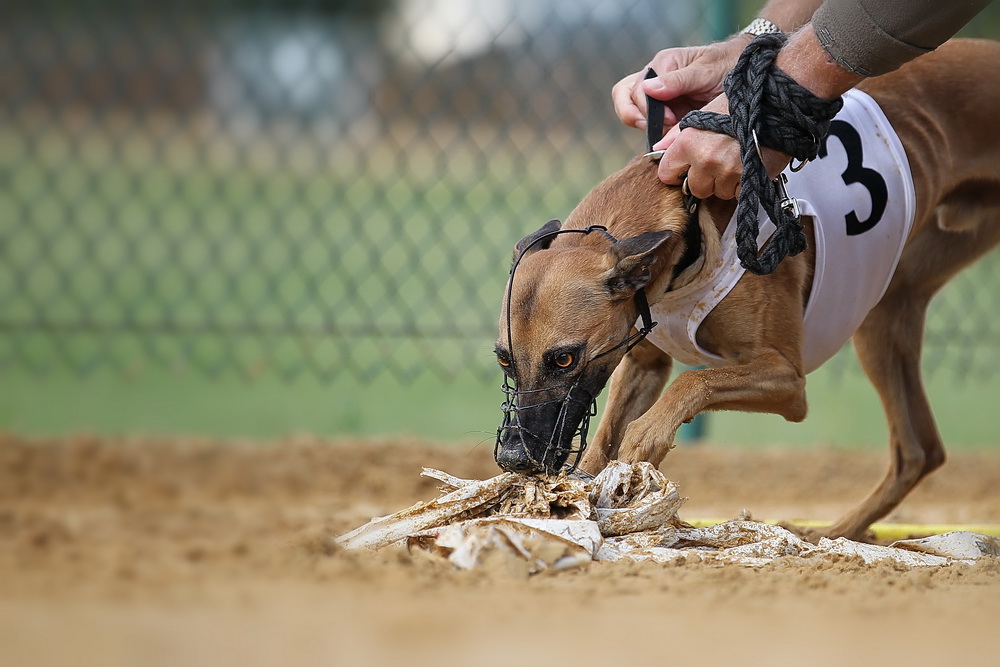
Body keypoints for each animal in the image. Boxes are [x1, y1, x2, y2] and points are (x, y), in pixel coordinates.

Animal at [492, 37, 1000, 544]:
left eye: (564, 358)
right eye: (503, 359)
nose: (515, 458)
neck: (689, 218)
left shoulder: (788, 381)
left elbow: (692, 381)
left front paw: (645, 438)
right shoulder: (640, 362)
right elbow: (603, 440)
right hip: (887, 312)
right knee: (920, 450)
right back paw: (838, 530)